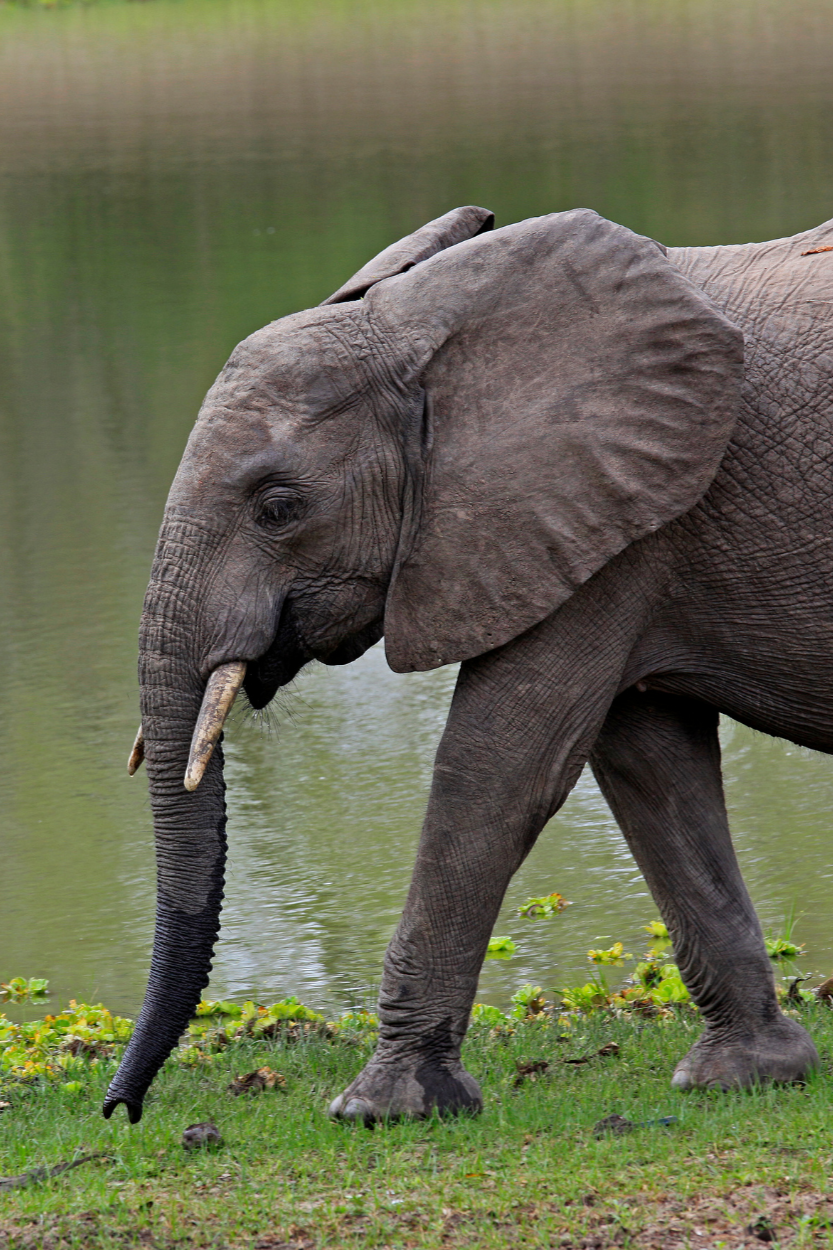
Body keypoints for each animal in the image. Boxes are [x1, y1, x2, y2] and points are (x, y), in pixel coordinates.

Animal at [103, 203, 833, 1125]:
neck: (426, 336)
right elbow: (650, 768)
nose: (123, 1112)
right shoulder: (607, 524)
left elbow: (497, 771)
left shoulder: (602, 516)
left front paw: (382, 1109)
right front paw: (743, 1076)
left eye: (277, 509)